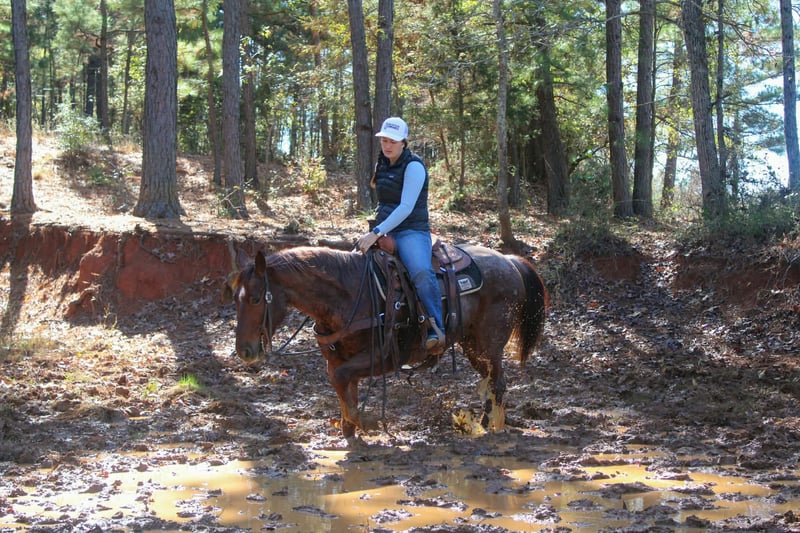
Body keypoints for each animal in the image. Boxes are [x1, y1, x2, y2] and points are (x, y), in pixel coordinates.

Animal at [223, 243, 548, 440]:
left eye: (256, 298)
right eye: (234, 297)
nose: (244, 351)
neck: (350, 294)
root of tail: (510, 261)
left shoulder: (385, 357)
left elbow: (343, 380)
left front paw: (362, 422)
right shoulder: (338, 359)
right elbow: (343, 386)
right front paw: (349, 429)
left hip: (488, 345)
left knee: (498, 382)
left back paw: (490, 427)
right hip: (472, 347)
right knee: (491, 382)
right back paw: (483, 424)